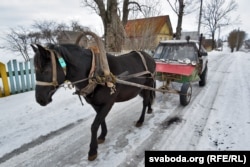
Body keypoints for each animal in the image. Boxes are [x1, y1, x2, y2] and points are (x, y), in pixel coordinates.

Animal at [30, 31, 156, 160]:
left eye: (46, 71)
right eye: (35, 70)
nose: (40, 99)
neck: (95, 72)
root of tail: (150, 56)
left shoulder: (108, 103)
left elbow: (94, 125)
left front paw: (92, 150)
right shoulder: (95, 104)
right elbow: (101, 121)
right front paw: (102, 136)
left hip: (148, 84)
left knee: (145, 101)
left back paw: (141, 120)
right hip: (141, 88)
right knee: (148, 99)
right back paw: (150, 109)